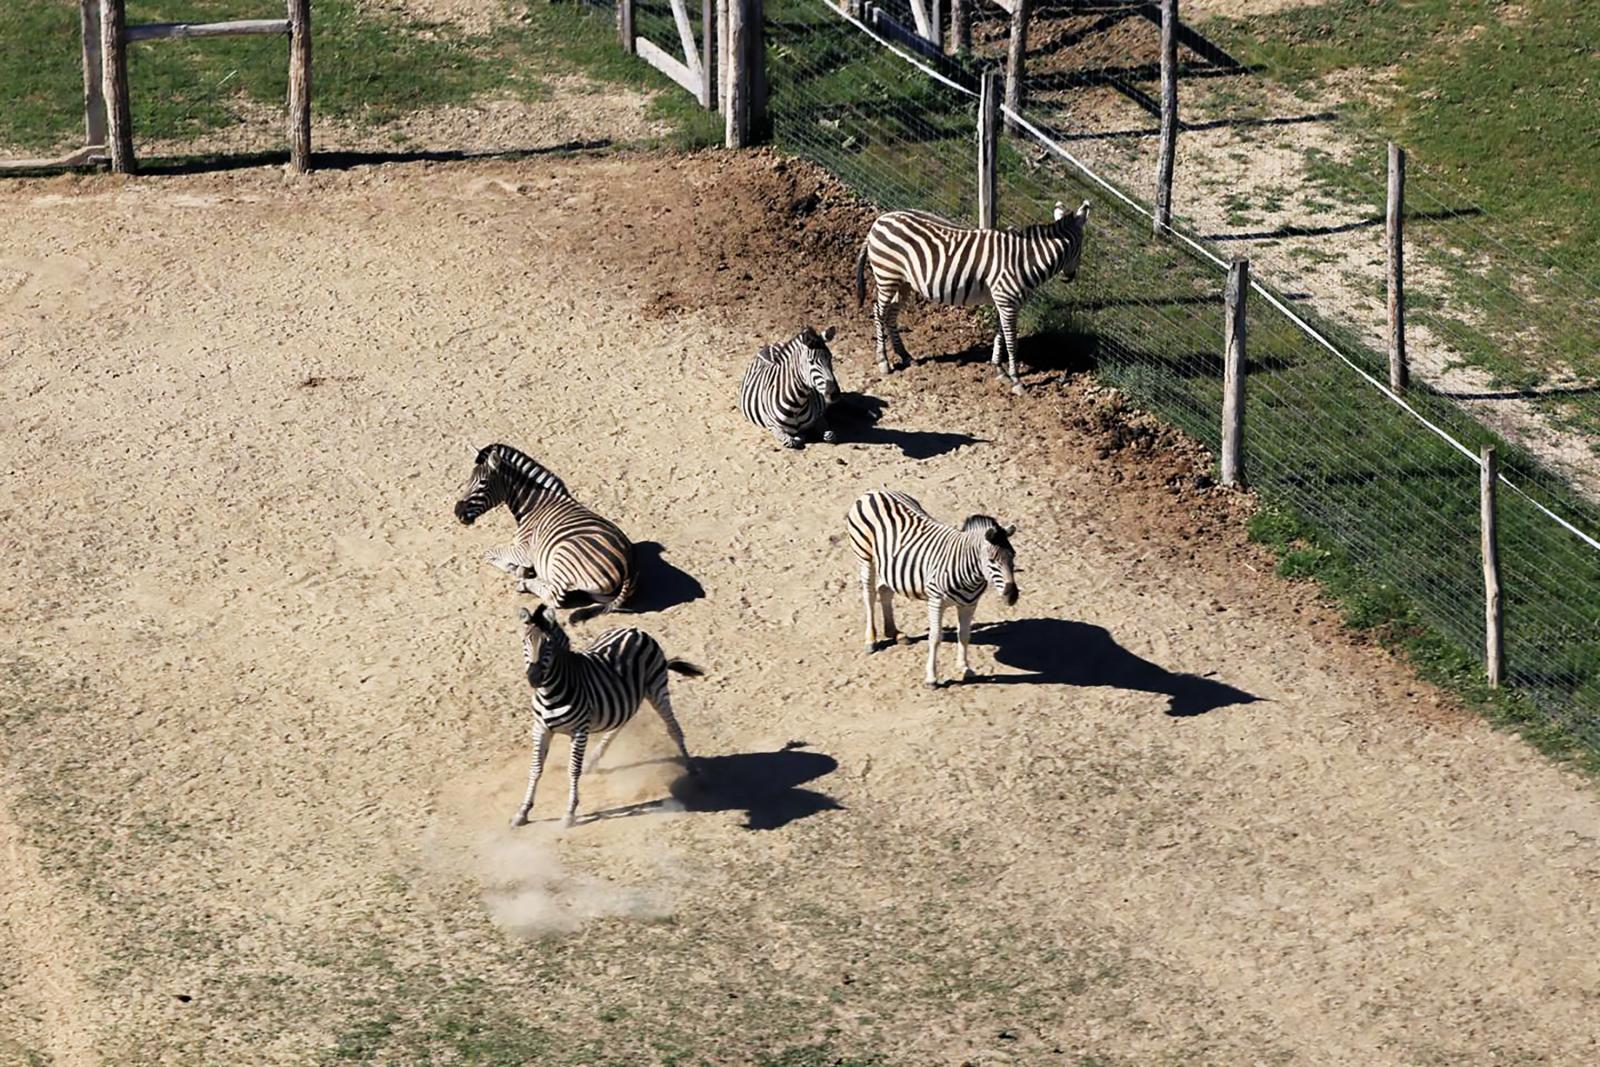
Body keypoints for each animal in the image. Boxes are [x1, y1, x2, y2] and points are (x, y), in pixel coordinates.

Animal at [454, 443, 635, 621]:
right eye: (468, 480)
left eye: (483, 483)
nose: (457, 512)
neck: (533, 506)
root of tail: (629, 566)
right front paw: (519, 569)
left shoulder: (524, 551)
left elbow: (488, 553)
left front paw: (513, 568)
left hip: (564, 554)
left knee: (553, 597)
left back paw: (525, 584)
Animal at [512, 603, 701, 827]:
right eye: (525, 641)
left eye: (548, 645)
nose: (534, 678)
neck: (550, 692)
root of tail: (635, 630)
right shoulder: (541, 728)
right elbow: (535, 769)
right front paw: (523, 812)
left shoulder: (580, 731)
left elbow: (572, 770)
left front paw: (569, 813)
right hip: (626, 698)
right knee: (620, 723)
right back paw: (593, 761)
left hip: (657, 689)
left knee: (673, 728)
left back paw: (693, 770)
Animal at [846, 490, 1018, 688]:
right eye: (992, 560)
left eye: (1013, 556)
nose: (1012, 596)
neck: (969, 573)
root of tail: (874, 492)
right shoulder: (936, 602)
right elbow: (935, 638)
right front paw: (931, 678)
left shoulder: (969, 604)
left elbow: (964, 635)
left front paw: (965, 668)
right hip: (865, 556)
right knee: (869, 595)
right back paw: (871, 640)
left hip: (889, 565)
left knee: (884, 590)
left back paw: (895, 633)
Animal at [854, 200, 1091, 393]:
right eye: (1081, 247)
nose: (1070, 277)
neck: (1023, 260)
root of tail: (879, 221)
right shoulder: (1007, 301)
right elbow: (1011, 341)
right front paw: (1016, 380)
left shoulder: (1004, 302)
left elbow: (1000, 335)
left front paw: (999, 370)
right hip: (887, 275)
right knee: (878, 312)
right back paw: (883, 360)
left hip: (903, 282)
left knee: (891, 314)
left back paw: (904, 355)